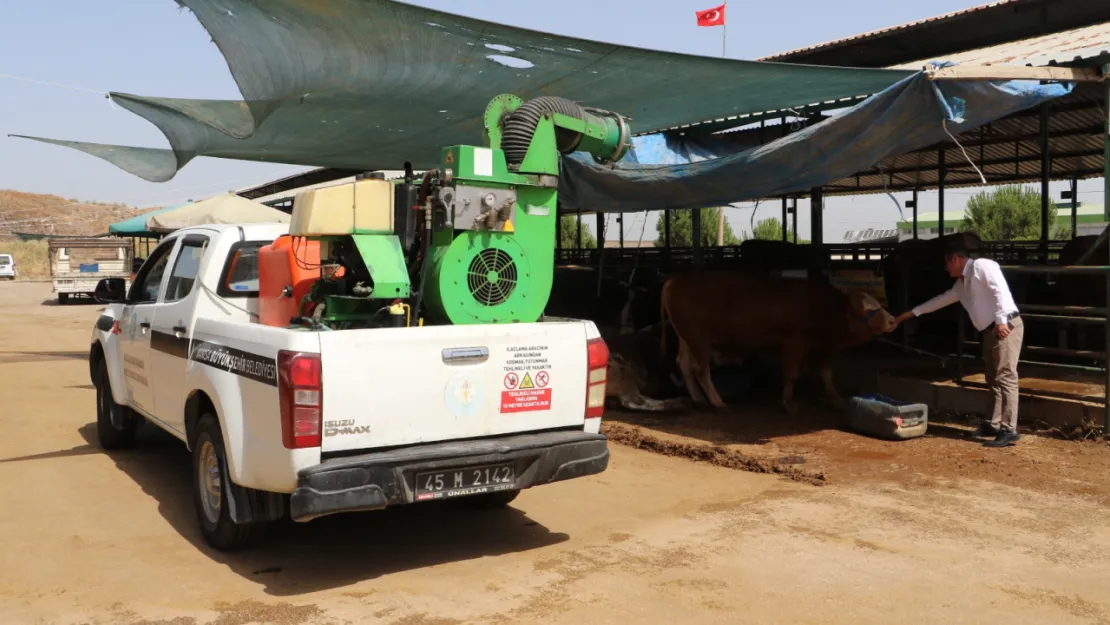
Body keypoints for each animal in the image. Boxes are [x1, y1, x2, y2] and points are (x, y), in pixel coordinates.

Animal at [657, 273, 901, 410]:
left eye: (877, 302)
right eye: (868, 308)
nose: (892, 320)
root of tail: (677, 279)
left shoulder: (820, 349)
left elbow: (826, 375)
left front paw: (837, 400)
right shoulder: (794, 343)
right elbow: (792, 374)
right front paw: (787, 402)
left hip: (685, 337)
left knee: (684, 365)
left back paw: (698, 400)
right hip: (698, 337)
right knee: (701, 369)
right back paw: (717, 402)